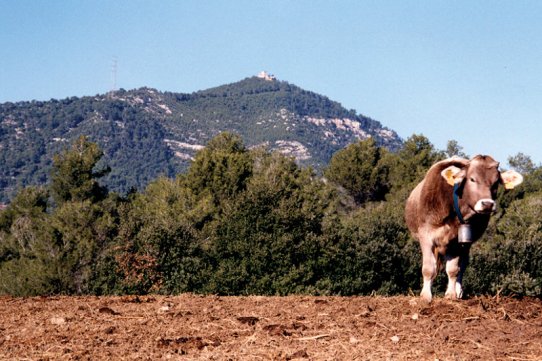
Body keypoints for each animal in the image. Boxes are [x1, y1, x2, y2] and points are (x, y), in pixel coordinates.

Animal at [406, 155, 524, 300]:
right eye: (472, 179)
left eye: (496, 182)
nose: (487, 204)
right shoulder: (426, 236)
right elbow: (428, 268)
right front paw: (425, 296)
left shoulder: (457, 242)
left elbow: (453, 269)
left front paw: (451, 294)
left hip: (466, 244)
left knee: (462, 266)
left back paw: (458, 291)